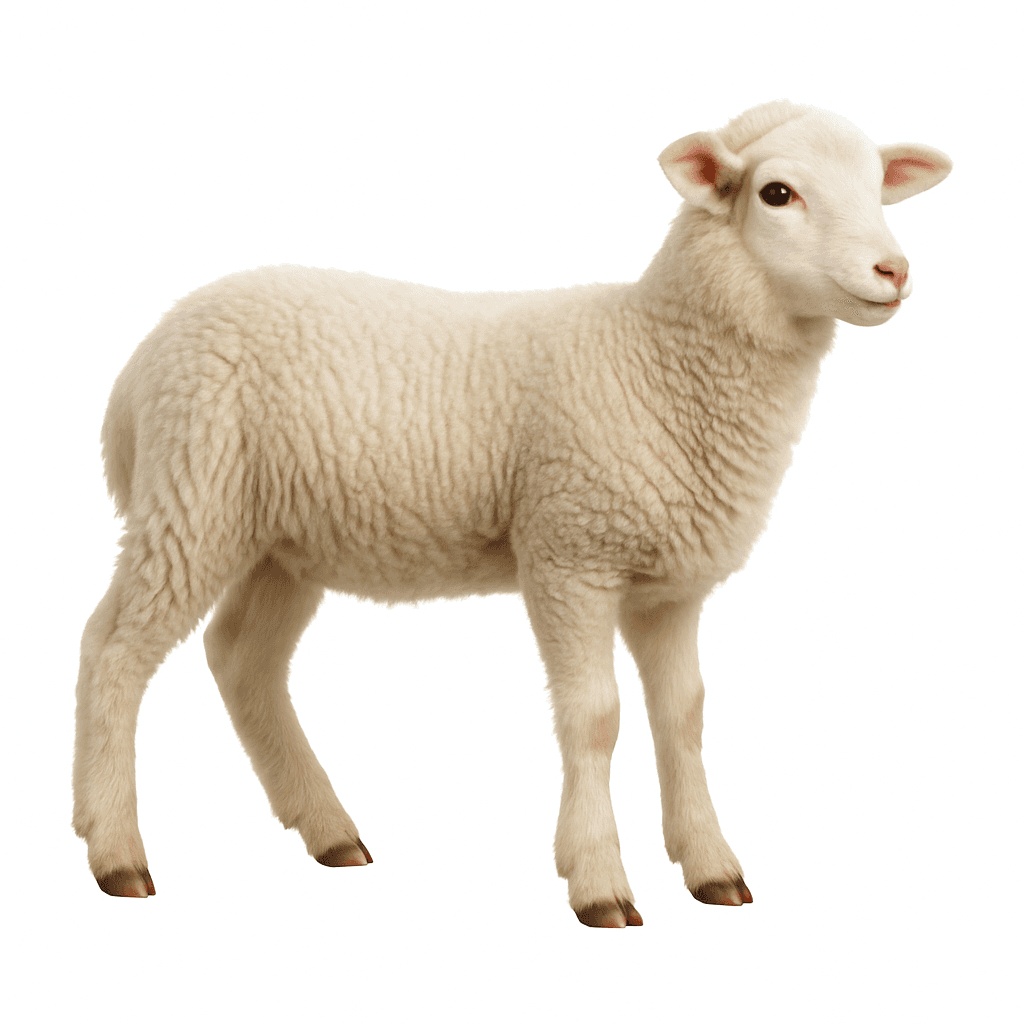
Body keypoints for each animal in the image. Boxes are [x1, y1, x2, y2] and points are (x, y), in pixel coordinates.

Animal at [73, 100, 951, 927]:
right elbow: (596, 718)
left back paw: (326, 830)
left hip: (279, 539)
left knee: (241, 659)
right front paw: (598, 882)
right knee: (114, 649)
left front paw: (712, 868)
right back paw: (115, 849)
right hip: (193, 496)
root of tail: (139, 366)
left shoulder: (669, 588)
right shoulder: (569, 552)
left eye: (877, 186)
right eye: (777, 193)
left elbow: (685, 718)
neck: (656, 357)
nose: (894, 270)